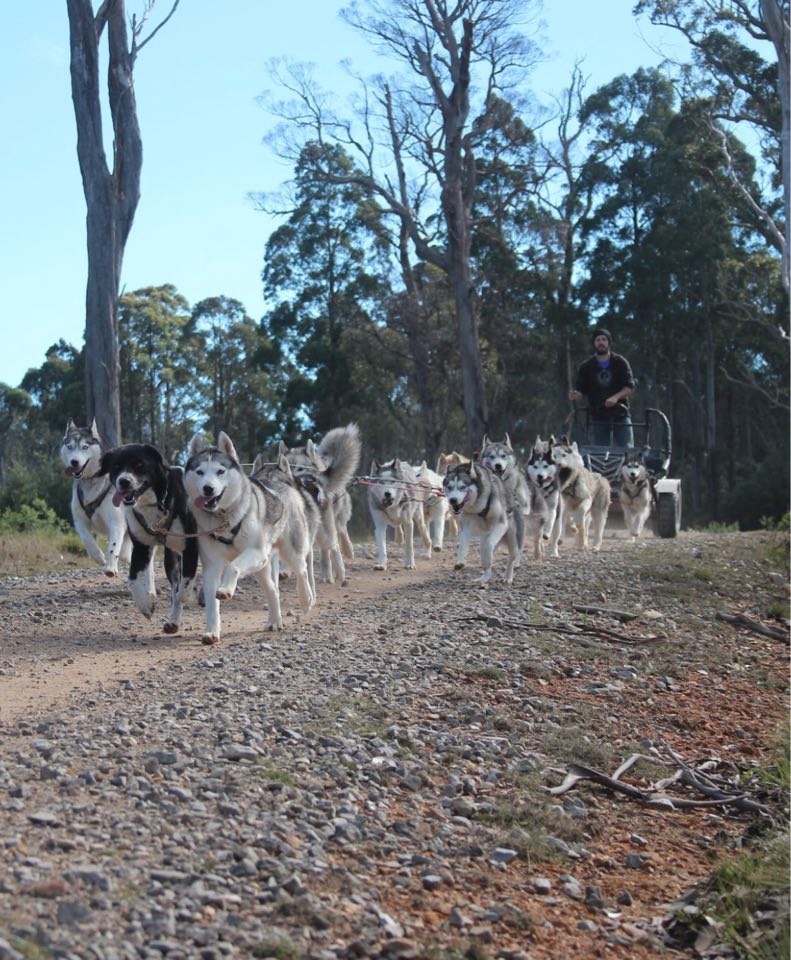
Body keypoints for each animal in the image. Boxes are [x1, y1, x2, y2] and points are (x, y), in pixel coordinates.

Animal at [60, 418, 131, 577]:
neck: (91, 480)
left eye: (85, 447)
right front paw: (99, 557)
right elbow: (87, 540)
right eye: (69, 446)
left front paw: (110, 567)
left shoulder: (116, 522)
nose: (74, 461)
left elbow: (113, 546)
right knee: (125, 552)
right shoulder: (79, 520)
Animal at [98, 443, 199, 634]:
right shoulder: (141, 548)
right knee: (174, 585)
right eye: (116, 467)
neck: (155, 503)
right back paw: (173, 622)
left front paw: (189, 596)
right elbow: (132, 579)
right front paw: (145, 605)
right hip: (170, 558)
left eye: (139, 464)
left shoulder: (190, 546)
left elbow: (184, 586)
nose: (124, 481)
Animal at [185, 432, 314, 644]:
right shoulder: (212, 566)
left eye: (220, 471)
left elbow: (232, 566)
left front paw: (226, 589)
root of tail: (282, 483)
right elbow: (212, 603)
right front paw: (212, 631)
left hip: (289, 551)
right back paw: (275, 621)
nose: (208, 488)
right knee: (273, 590)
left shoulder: (255, 552)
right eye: (199, 472)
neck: (224, 519)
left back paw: (306, 600)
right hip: (261, 567)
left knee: (301, 569)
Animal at [278, 423, 361, 584]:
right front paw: (284, 570)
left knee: (336, 540)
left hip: (328, 526)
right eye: (286, 466)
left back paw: (340, 566)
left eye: (300, 468)